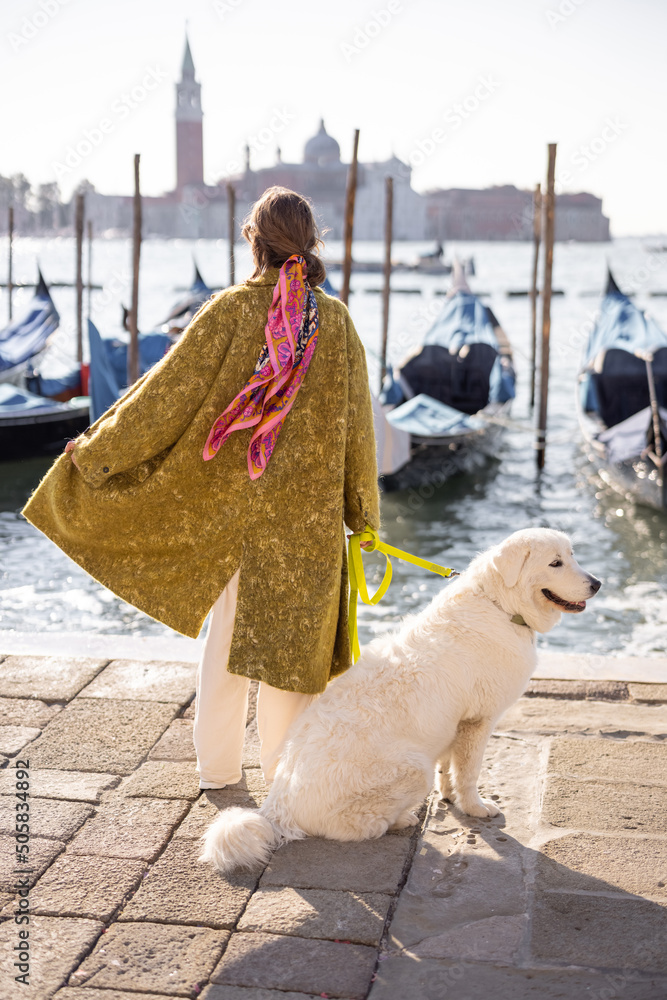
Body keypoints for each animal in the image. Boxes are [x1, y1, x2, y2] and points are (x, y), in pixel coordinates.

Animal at [200, 528, 600, 872]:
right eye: (555, 563)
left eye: (573, 556)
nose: (597, 583)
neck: (500, 605)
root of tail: (277, 805)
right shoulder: (479, 721)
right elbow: (469, 773)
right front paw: (475, 808)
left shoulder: (456, 724)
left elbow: (449, 769)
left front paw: (450, 797)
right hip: (412, 769)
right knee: (354, 828)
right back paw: (400, 820)